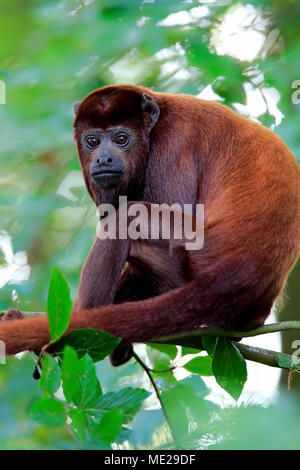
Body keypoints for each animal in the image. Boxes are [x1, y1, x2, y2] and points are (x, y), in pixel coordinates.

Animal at [0, 85, 300, 364]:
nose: (103, 158)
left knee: (126, 218)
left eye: (121, 139)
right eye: (92, 141)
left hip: (192, 261)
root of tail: (238, 272)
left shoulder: (174, 143)